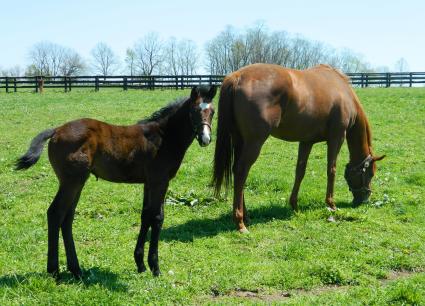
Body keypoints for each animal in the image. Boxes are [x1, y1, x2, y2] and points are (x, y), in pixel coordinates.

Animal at [15, 85, 215, 278]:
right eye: (194, 111)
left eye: (212, 112)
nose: (205, 139)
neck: (164, 137)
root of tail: (56, 130)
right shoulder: (160, 181)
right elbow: (157, 217)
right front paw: (155, 268)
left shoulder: (148, 183)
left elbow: (145, 216)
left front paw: (140, 264)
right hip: (71, 182)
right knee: (55, 213)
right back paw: (54, 271)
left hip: (77, 182)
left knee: (67, 217)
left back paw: (76, 270)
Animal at [212, 64, 384, 232]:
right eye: (370, 174)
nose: (364, 199)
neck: (343, 90)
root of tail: (237, 77)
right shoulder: (337, 138)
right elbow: (331, 170)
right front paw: (331, 204)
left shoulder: (306, 141)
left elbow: (300, 172)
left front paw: (294, 205)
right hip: (254, 142)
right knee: (241, 172)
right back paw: (240, 222)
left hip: (240, 141)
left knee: (237, 172)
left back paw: (246, 215)